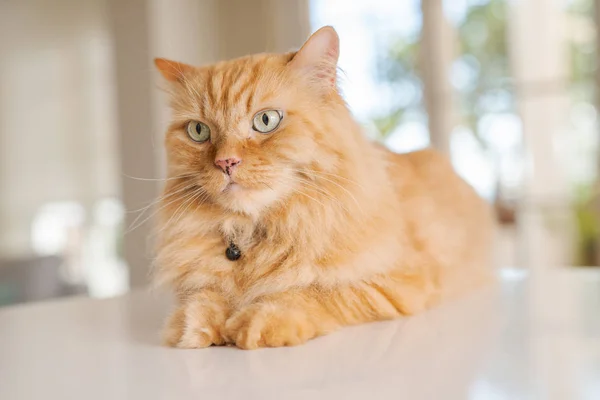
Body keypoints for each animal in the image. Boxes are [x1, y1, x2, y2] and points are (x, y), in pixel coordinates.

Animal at [154, 26, 492, 348]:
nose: (226, 162)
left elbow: (313, 293)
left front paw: (254, 322)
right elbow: (203, 299)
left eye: (266, 120)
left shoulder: (397, 283)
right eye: (199, 131)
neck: (255, 233)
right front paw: (190, 327)